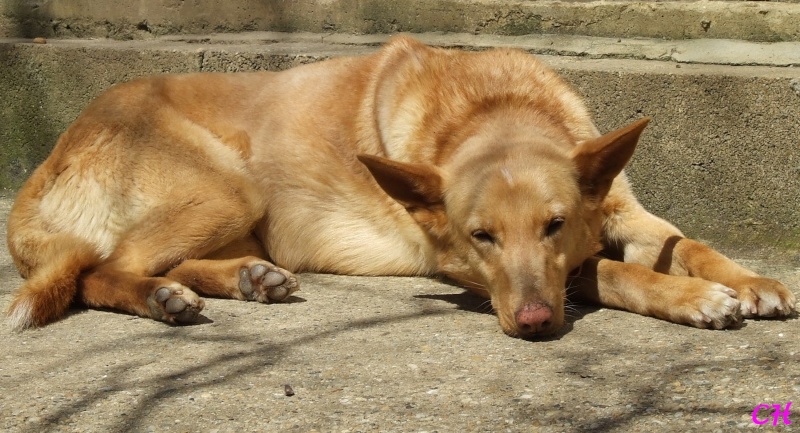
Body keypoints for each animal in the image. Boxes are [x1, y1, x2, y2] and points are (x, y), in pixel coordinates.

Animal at [4, 34, 792, 338]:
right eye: (481, 237)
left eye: (555, 224)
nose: (533, 324)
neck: (495, 105)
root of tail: (53, 153)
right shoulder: (460, 266)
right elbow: (607, 273)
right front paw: (695, 299)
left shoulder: (626, 211)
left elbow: (688, 243)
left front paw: (753, 282)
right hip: (230, 188)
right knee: (102, 270)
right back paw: (160, 298)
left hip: (238, 211)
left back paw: (248, 278)